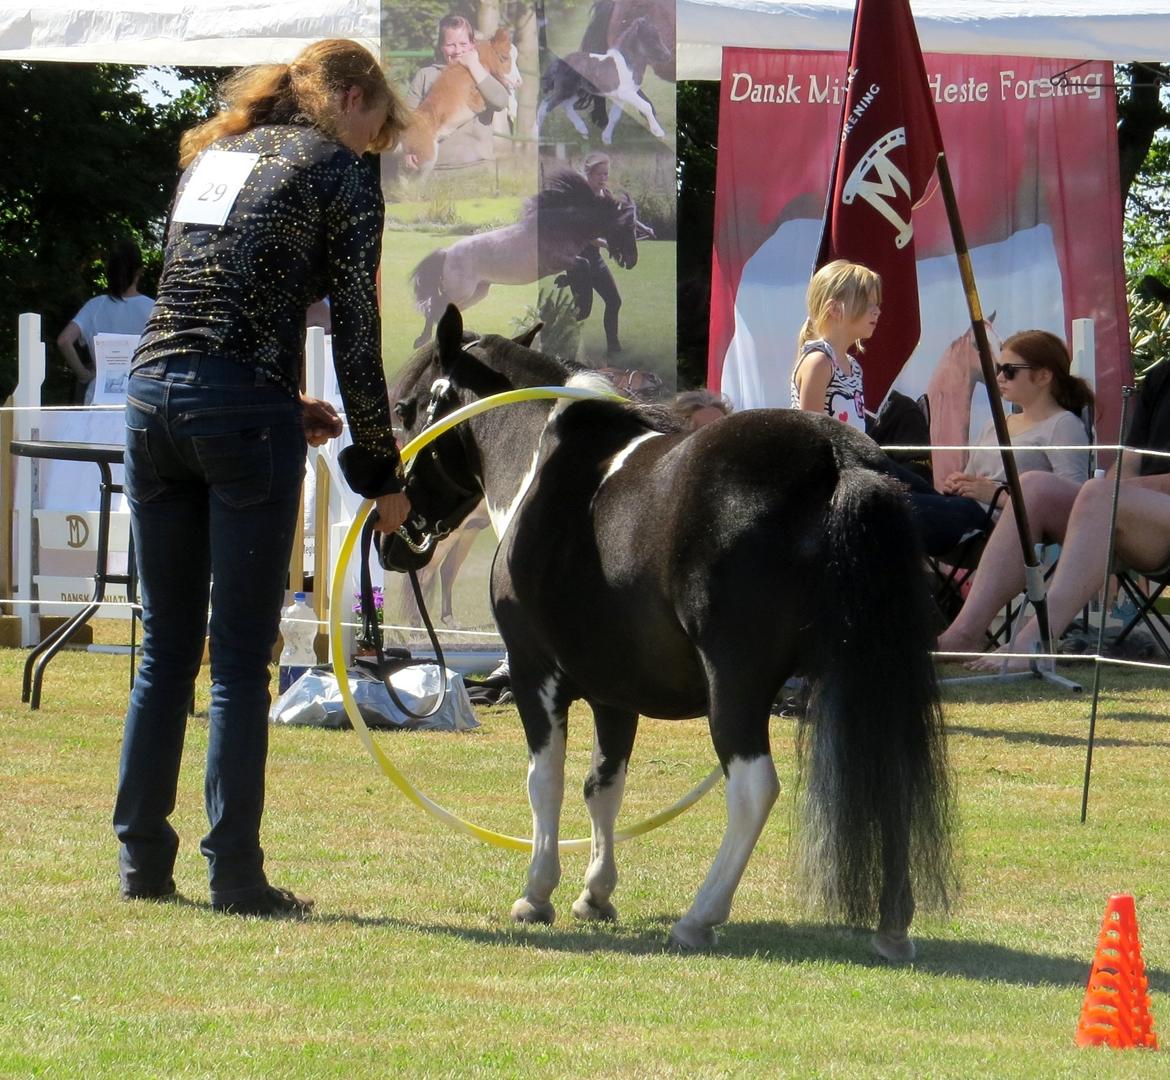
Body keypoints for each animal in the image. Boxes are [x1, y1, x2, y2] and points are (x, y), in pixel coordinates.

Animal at [383, 306, 950, 964]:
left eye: (407, 408)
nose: (391, 537)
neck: (545, 467)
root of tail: (839, 461)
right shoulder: (613, 690)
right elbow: (602, 786)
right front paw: (595, 894)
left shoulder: (534, 671)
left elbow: (545, 782)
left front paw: (537, 893)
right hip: (866, 679)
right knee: (892, 781)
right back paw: (893, 927)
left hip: (737, 686)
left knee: (753, 789)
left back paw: (699, 917)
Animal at [407, 174, 636, 346]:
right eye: (626, 227)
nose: (632, 261)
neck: (561, 227)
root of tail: (446, 253)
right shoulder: (558, 260)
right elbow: (584, 266)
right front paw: (582, 308)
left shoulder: (565, 262)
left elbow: (579, 272)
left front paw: (564, 286)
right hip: (463, 291)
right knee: (435, 306)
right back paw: (421, 340)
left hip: (478, 292)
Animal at [535, 12, 673, 144]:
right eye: (651, 38)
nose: (668, 56)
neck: (627, 64)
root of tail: (560, 61)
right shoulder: (627, 93)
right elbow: (646, 106)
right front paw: (658, 132)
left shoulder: (620, 97)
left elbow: (614, 116)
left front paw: (606, 138)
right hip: (565, 90)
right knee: (545, 106)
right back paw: (535, 135)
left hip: (578, 91)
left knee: (567, 106)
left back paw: (583, 130)